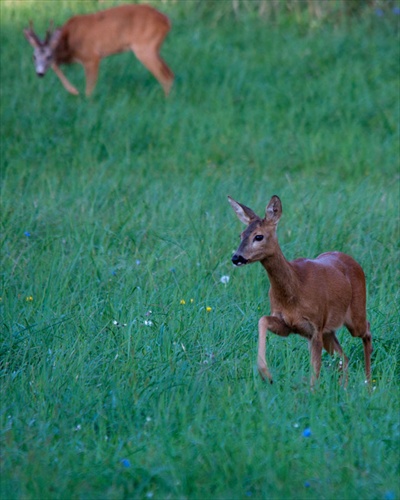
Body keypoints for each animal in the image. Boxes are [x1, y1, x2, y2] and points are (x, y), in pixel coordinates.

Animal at [23, 3, 173, 96]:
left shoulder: (91, 57)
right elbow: (56, 65)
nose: (39, 73)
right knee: (169, 73)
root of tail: (166, 21)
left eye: (48, 55)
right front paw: (74, 91)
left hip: (145, 47)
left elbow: (89, 88)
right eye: (34, 56)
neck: (68, 42)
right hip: (153, 48)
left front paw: (83, 99)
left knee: (165, 76)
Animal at [228, 195, 372, 386]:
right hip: (329, 331)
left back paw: (369, 383)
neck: (295, 289)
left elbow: (315, 372)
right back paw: (346, 388)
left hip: (355, 314)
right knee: (344, 358)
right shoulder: (289, 324)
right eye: (241, 235)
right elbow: (262, 320)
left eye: (258, 236)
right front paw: (266, 374)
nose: (236, 257)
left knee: (366, 331)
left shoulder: (315, 327)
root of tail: (353, 261)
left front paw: (311, 391)